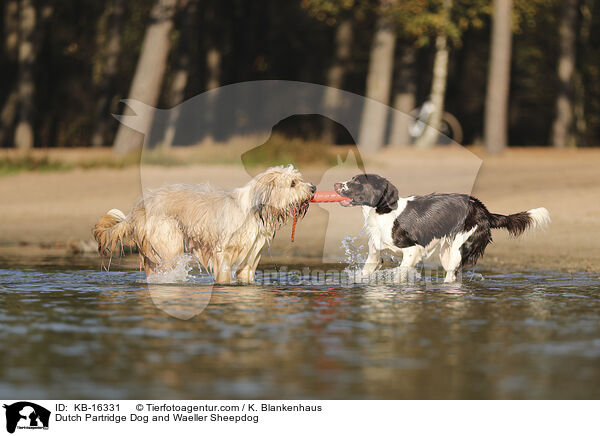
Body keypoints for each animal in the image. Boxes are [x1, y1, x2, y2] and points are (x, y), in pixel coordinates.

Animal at [92, 165, 314, 284]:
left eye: (299, 179)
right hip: (169, 243)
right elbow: (223, 277)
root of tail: (137, 209)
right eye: (293, 183)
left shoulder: (250, 258)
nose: (313, 188)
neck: (254, 209)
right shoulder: (223, 253)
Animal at [336, 174, 552, 282]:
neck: (383, 213)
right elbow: (365, 273)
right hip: (447, 252)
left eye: (356, 181)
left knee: (452, 277)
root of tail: (485, 211)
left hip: (459, 249)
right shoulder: (375, 253)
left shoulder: (413, 250)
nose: (336, 183)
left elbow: (400, 272)